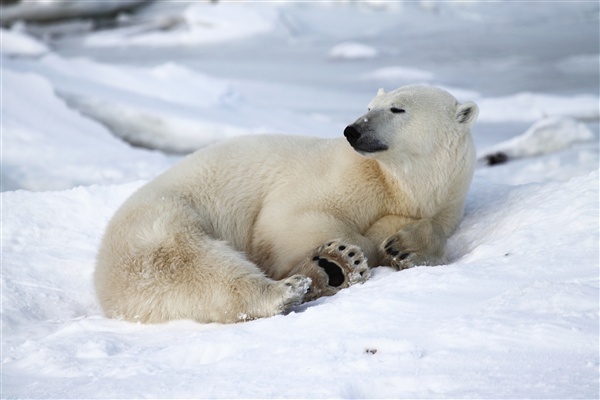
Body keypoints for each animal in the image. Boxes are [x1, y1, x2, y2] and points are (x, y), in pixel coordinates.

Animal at [95, 85, 478, 324]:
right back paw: (299, 282)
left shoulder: (441, 203)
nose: (352, 130)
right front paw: (358, 250)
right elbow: (287, 218)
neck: (402, 184)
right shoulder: (346, 175)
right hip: (160, 227)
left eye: (398, 109)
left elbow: (427, 229)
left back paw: (328, 270)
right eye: (369, 107)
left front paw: (403, 245)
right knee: (193, 264)